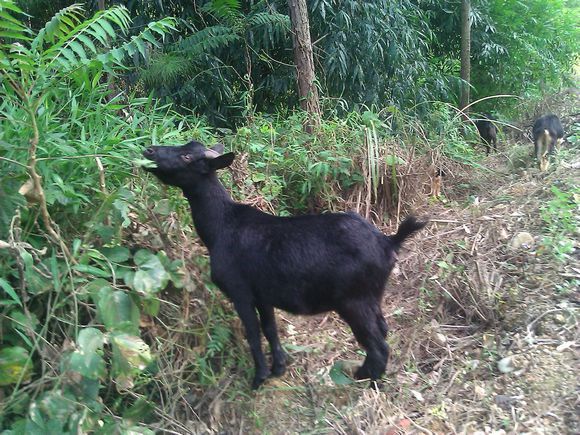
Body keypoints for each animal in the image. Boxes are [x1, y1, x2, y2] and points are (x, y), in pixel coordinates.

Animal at [143, 141, 428, 390]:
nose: (149, 150)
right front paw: (278, 368)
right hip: (372, 296)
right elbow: (270, 329)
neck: (220, 226)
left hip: (353, 300)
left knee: (378, 345)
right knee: (383, 330)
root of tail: (389, 242)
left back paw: (369, 383)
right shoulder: (263, 294)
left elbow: (253, 334)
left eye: (187, 157)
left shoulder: (240, 292)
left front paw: (258, 378)